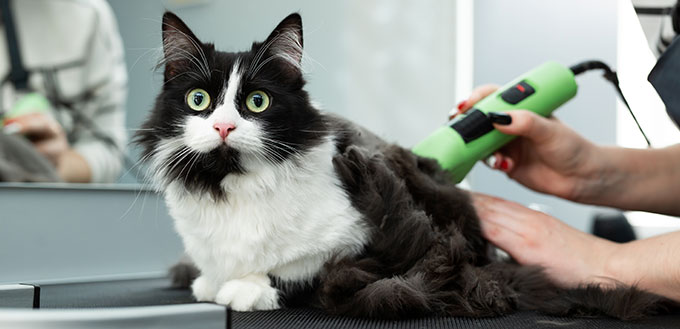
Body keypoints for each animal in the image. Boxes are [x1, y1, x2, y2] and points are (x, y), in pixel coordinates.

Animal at [135, 12, 672, 318]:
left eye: (257, 102)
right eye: (200, 100)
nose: (224, 128)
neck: (232, 185)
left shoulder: (349, 245)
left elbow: (301, 274)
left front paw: (246, 289)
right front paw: (211, 282)